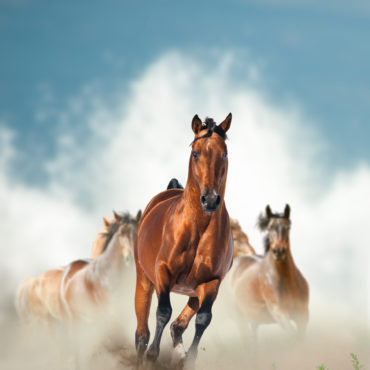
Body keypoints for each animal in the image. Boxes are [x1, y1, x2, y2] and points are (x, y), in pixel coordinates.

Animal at [134, 113, 233, 368]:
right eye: (195, 153)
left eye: (224, 154)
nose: (210, 200)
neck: (196, 228)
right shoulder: (163, 273)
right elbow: (163, 312)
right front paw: (153, 354)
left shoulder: (211, 282)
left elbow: (203, 319)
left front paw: (189, 358)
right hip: (144, 279)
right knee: (141, 332)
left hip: (194, 292)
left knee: (178, 326)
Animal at [231, 204, 310, 340]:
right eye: (269, 228)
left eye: (288, 227)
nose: (279, 251)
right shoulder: (279, 313)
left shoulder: (303, 316)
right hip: (241, 319)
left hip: (254, 321)